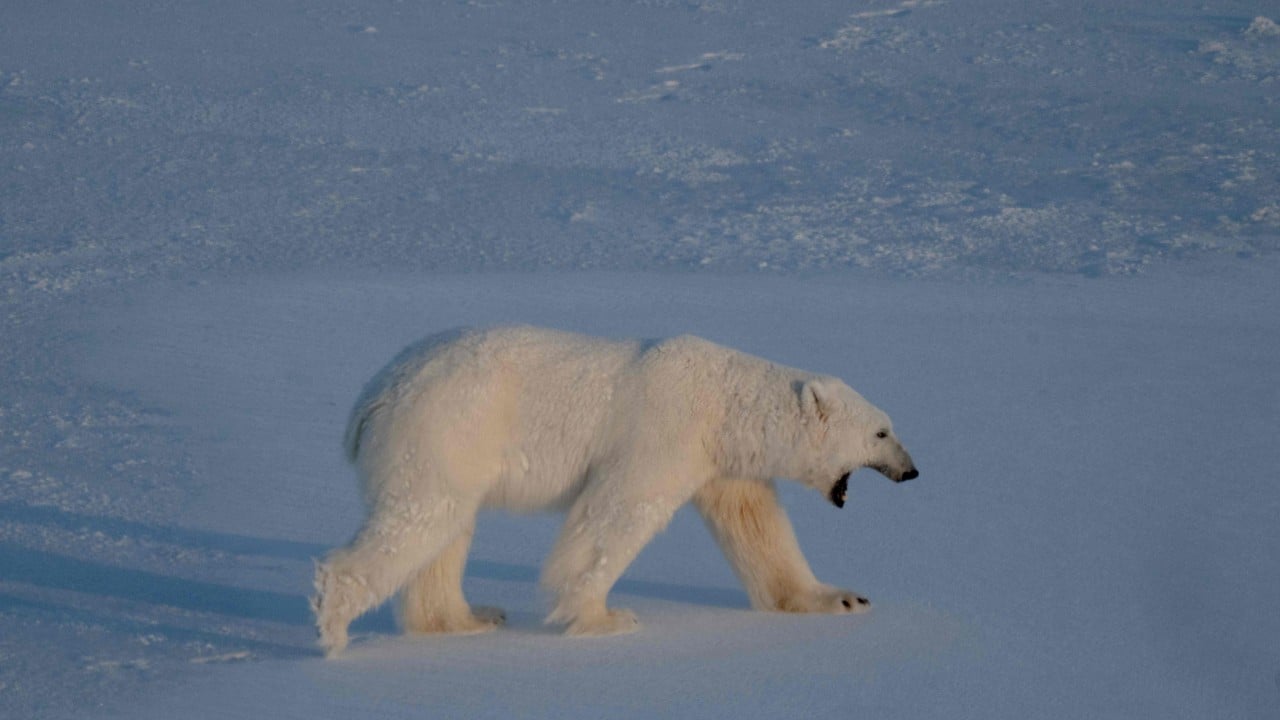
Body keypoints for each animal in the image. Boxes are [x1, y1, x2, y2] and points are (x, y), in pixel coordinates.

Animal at [312, 325, 918, 656]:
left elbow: (756, 526)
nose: (912, 471)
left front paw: (842, 598)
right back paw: (334, 624)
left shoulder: (723, 462)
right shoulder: (665, 430)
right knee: (420, 517)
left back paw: (468, 618)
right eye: (881, 432)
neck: (725, 403)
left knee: (445, 530)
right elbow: (618, 511)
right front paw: (604, 617)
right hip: (446, 428)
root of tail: (372, 395)